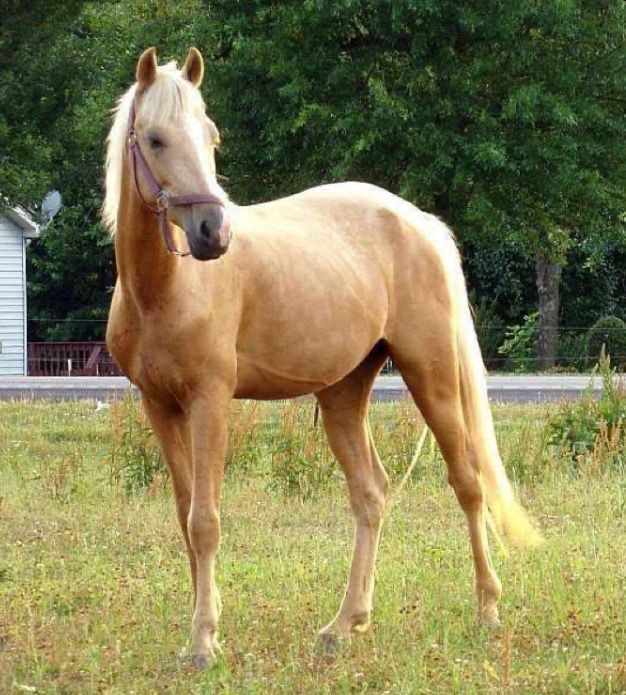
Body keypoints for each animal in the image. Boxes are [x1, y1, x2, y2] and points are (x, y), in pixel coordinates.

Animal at [105, 49, 540, 668]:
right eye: (156, 139)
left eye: (211, 136)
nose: (214, 233)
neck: (165, 289)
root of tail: (418, 222)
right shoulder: (159, 406)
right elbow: (186, 516)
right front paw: (202, 630)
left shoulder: (211, 401)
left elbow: (206, 519)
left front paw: (204, 639)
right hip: (342, 393)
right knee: (370, 494)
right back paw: (345, 623)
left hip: (430, 376)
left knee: (467, 481)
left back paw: (487, 609)